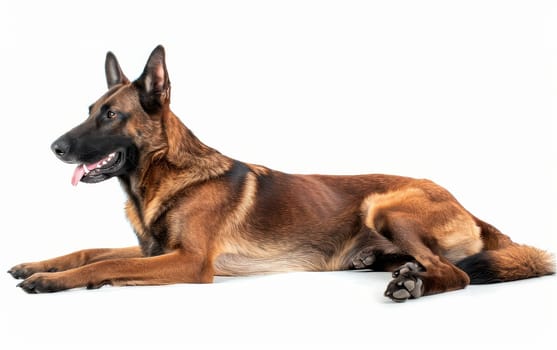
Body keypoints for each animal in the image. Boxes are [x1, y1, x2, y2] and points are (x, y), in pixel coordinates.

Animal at [7, 44, 552, 300]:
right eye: (89, 110)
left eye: (110, 116)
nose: (55, 147)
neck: (166, 177)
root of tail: (470, 208)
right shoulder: (153, 251)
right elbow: (87, 251)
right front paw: (38, 265)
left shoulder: (189, 262)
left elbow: (100, 265)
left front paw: (54, 282)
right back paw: (402, 271)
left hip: (384, 206)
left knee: (457, 273)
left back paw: (411, 284)